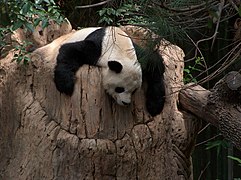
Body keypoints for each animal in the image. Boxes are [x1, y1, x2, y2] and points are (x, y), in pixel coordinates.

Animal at [38, 26, 166, 116]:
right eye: (120, 89)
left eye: (134, 91)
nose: (126, 103)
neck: (119, 47)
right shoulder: (98, 49)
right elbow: (70, 50)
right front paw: (65, 85)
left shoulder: (136, 53)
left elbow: (155, 63)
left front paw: (155, 105)